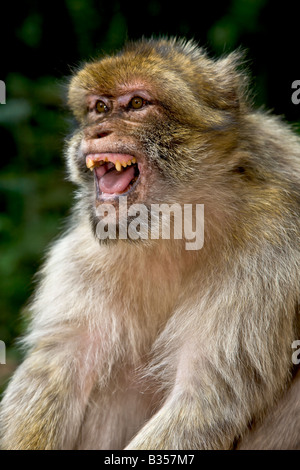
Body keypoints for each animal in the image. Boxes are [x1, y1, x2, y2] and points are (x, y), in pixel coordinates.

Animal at [0, 38, 300, 450]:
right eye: (100, 108)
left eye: (137, 104)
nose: (96, 132)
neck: (177, 228)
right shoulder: (87, 252)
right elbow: (58, 365)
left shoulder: (268, 252)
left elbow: (206, 396)